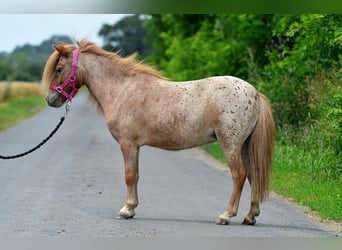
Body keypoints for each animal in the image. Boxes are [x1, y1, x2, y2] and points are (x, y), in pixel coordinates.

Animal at [42, 40, 276, 226]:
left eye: (59, 68)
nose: (50, 100)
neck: (122, 89)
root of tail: (254, 93)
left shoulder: (127, 144)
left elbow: (129, 176)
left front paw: (125, 210)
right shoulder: (135, 147)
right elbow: (136, 175)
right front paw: (132, 209)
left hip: (231, 145)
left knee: (239, 175)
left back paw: (226, 215)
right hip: (244, 147)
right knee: (253, 175)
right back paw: (250, 216)